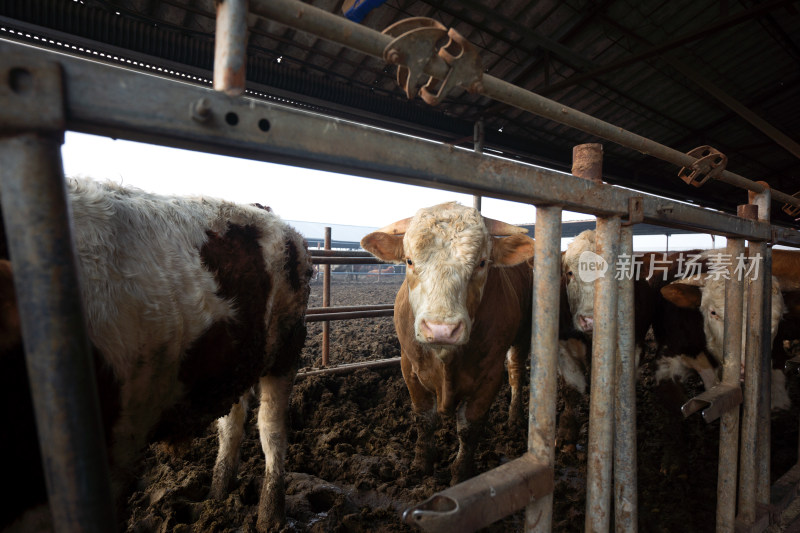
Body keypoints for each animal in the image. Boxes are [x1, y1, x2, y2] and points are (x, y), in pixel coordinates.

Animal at [1, 178, 310, 532]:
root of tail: (272, 216)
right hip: (237, 361)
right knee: (231, 424)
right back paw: (217, 494)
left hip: (286, 347)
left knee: (271, 428)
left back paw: (270, 516)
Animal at [360, 202, 536, 484]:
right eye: (409, 260)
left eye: (482, 263)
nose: (441, 329)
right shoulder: (409, 366)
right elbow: (424, 419)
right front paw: (421, 465)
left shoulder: (490, 375)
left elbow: (469, 427)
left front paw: (461, 473)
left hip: (523, 335)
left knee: (517, 373)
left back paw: (514, 418)